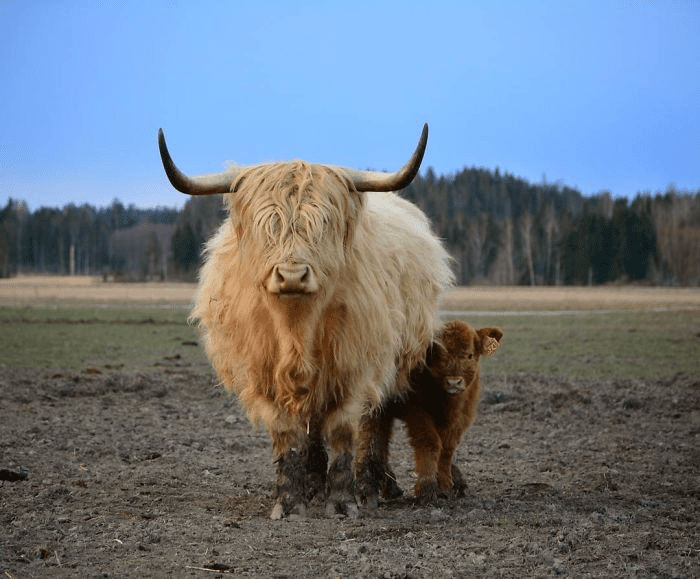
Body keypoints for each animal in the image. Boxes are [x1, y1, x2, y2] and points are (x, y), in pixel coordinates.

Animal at [157, 124, 454, 520]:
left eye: (322, 224)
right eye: (265, 226)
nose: (292, 276)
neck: (296, 329)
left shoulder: (353, 369)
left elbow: (343, 432)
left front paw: (342, 502)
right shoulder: (264, 374)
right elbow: (287, 436)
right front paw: (289, 501)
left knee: (374, 423)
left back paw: (371, 486)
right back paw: (315, 485)